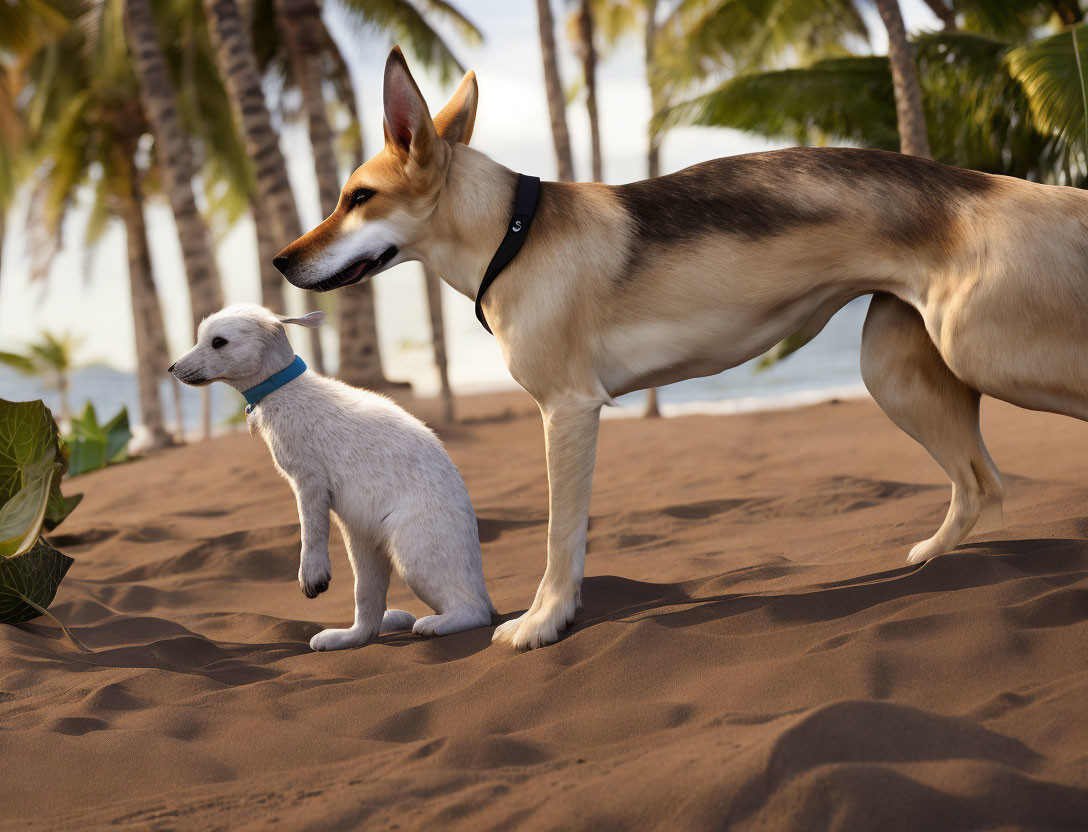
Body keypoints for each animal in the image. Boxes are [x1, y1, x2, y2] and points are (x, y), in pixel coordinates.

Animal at [276, 48, 1088, 648]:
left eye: (357, 198)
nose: (282, 262)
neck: (513, 232)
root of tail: (1024, 190)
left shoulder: (567, 412)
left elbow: (560, 538)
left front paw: (544, 623)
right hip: (900, 370)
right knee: (981, 483)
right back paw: (937, 567)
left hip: (988, 352)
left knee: (993, 468)